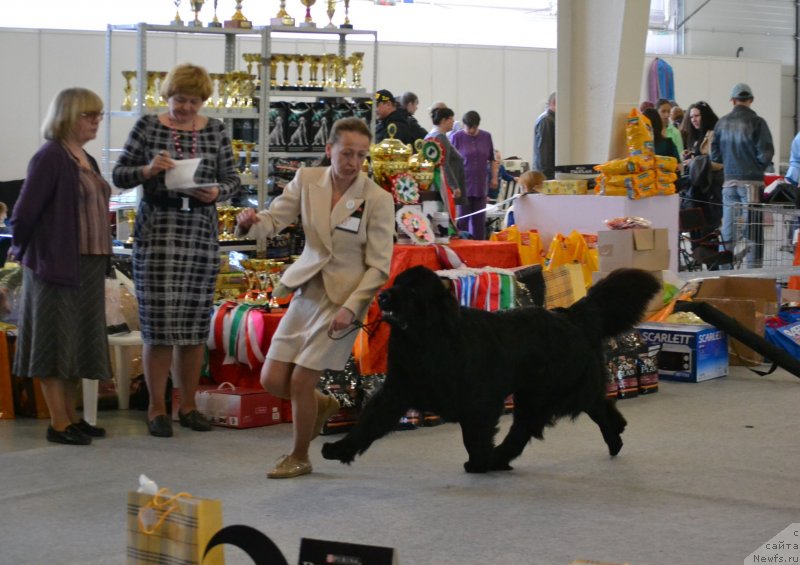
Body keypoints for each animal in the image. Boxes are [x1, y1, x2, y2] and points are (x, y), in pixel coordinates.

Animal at [322, 264, 660, 472]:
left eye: (414, 291)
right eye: (396, 283)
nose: (383, 296)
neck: (426, 340)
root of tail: (570, 315)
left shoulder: (478, 399)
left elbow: (473, 434)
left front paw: (477, 461)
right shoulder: (396, 390)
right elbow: (366, 424)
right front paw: (338, 450)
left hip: (546, 391)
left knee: (572, 413)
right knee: (587, 408)